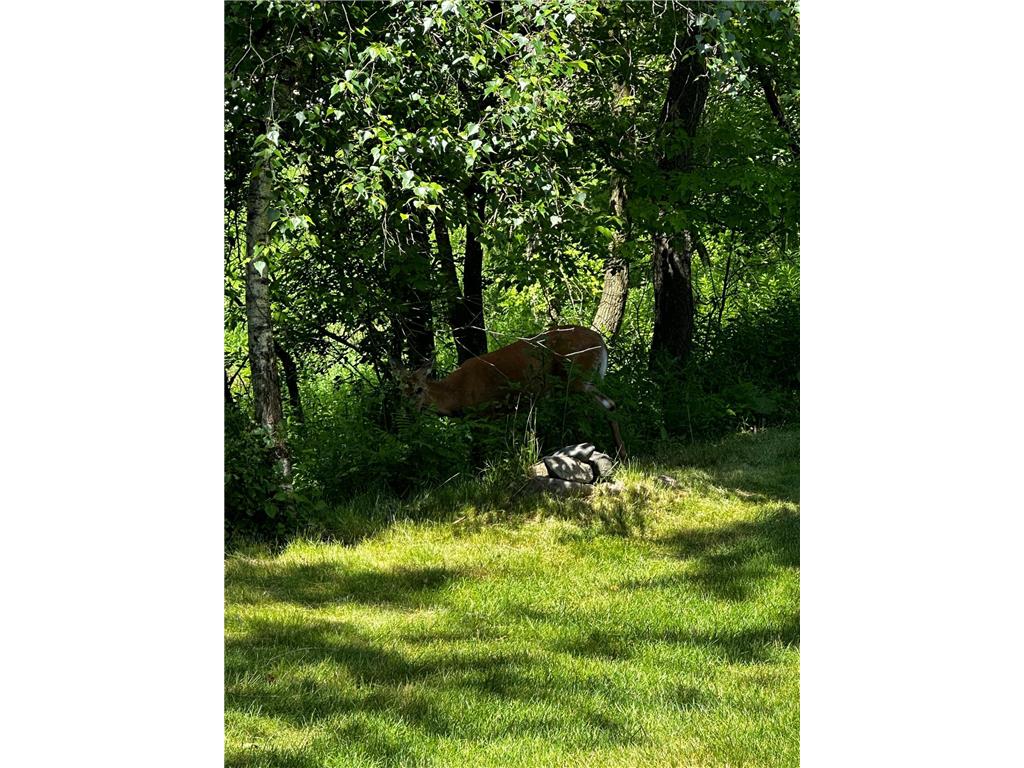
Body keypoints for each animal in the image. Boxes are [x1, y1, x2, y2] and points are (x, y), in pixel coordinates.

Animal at [392, 325, 627, 459]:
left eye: (420, 389)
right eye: (401, 389)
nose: (408, 410)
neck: (456, 394)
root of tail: (601, 342)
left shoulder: (483, 413)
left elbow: (479, 448)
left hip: (577, 377)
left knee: (606, 405)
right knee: (610, 404)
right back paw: (621, 454)